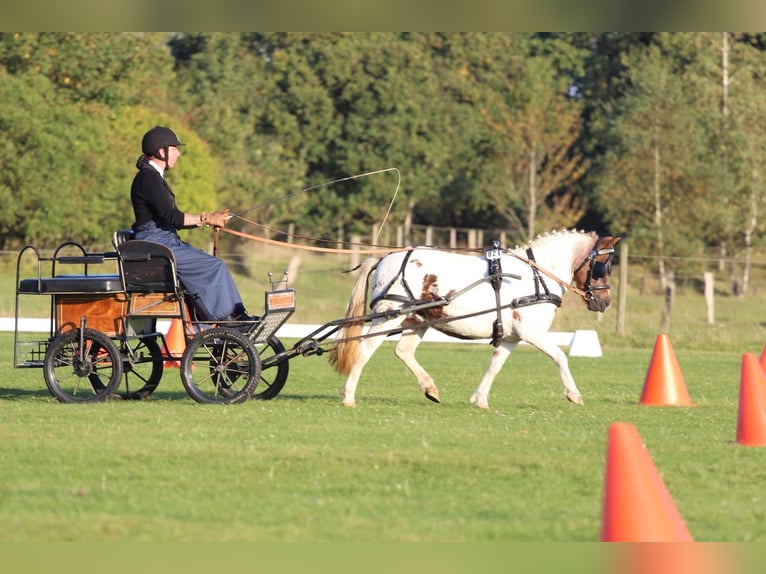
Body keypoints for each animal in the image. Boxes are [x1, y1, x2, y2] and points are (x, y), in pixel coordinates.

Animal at [328, 230, 620, 410]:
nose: (604, 303)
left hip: (416, 320)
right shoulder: (532, 333)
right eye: (601, 267)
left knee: (403, 351)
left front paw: (480, 399)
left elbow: (496, 365)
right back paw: (348, 395)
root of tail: (384, 258)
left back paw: (430, 388)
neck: (536, 276)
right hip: (389, 316)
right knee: (365, 350)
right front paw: (573, 394)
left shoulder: (512, 337)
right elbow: (560, 356)